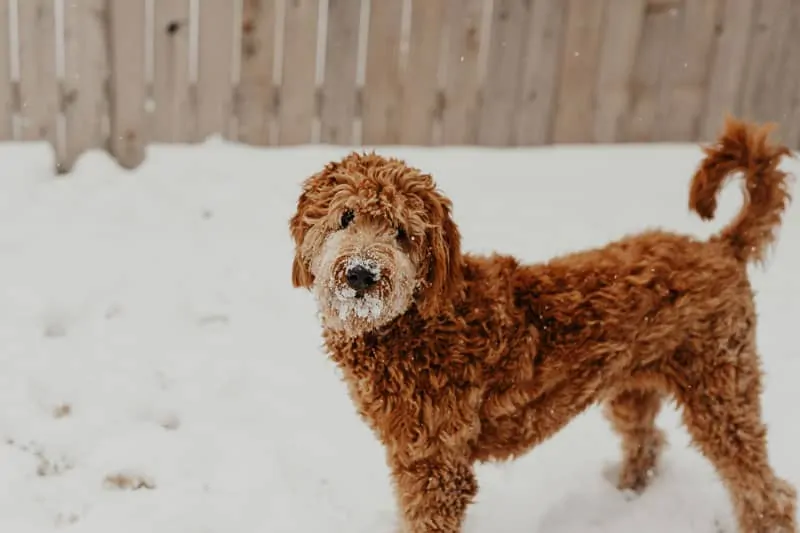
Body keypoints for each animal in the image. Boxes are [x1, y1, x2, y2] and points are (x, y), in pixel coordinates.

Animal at [288, 117, 792, 532]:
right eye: (345, 216)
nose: (361, 274)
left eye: (402, 234)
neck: (416, 321)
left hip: (721, 389)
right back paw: (627, 492)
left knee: (766, 491)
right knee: (646, 441)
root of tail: (721, 247)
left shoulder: (437, 466)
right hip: (632, 386)